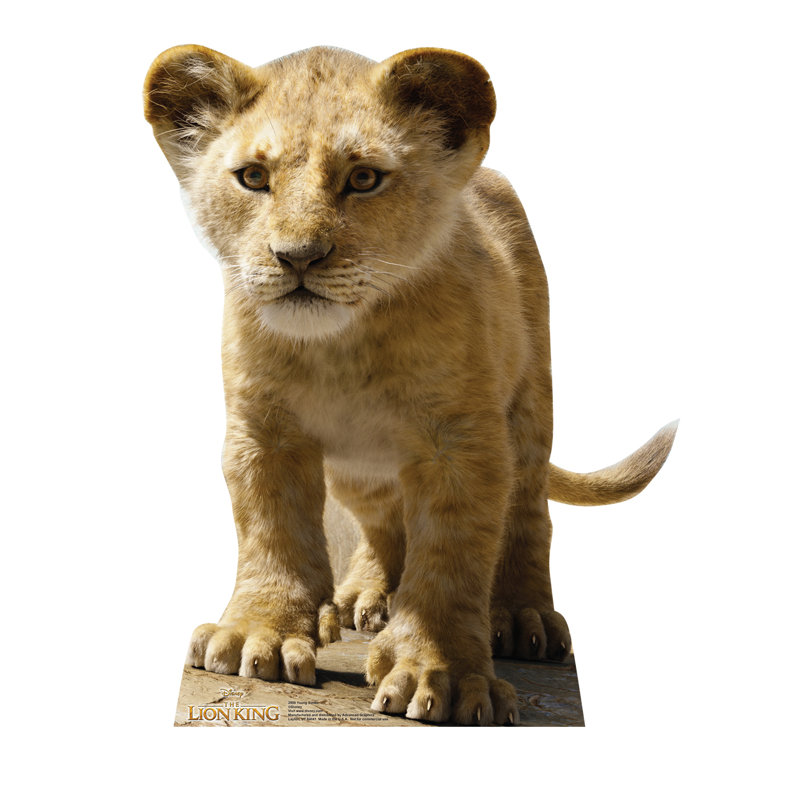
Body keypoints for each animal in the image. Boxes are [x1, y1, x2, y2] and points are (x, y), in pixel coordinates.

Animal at [144, 44, 677, 725]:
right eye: (254, 178)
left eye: (364, 179)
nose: (297, 256)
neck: (341, 346)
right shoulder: (262, 431)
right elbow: (271, 529)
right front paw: (256, 633)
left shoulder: (461, 443)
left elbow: (451, 556)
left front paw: (439, 672)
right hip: (357, 470)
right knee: (382, 519)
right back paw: (361, 599)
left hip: (531, 410)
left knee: (528, 514)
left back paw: (523, 618)